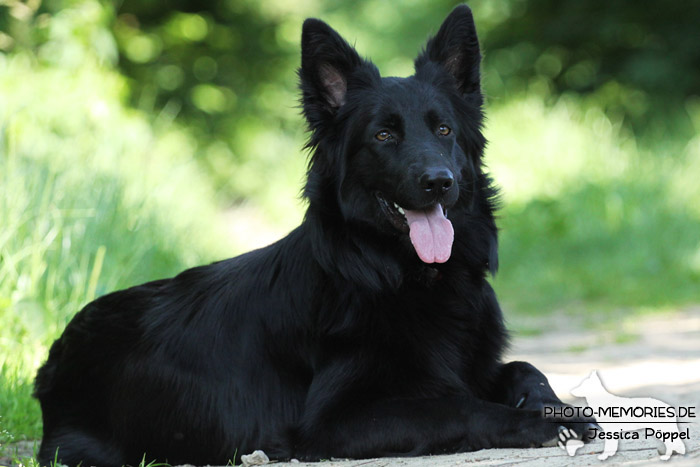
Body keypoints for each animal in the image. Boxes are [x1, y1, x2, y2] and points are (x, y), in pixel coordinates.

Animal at [35, 4, 592, 467]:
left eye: (444, 131)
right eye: (384, 135)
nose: (439, 181)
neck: (401, 277)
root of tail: (52, 359)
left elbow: (524, 367)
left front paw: (551, 404)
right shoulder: (334, 423)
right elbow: (456, 404)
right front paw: (535, 421)